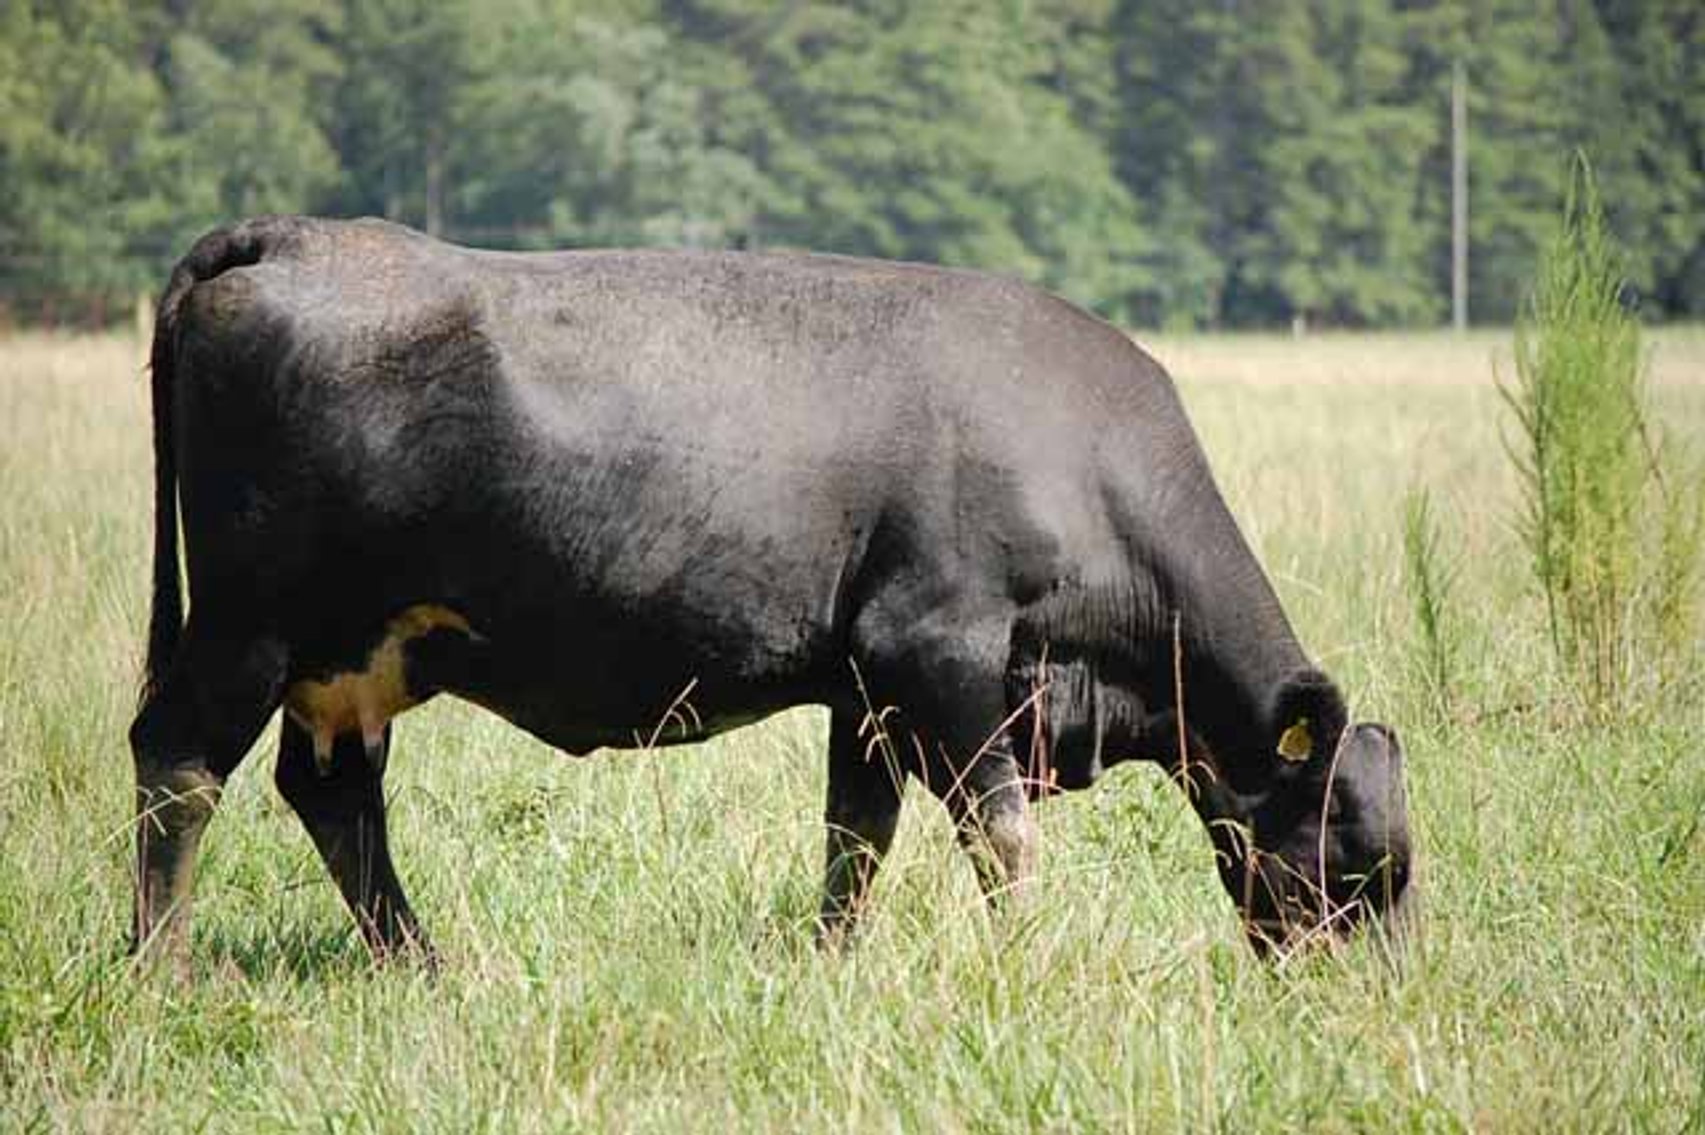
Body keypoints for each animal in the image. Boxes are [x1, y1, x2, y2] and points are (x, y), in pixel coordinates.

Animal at [130, 216, 1413, 969]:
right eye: (1356, 856)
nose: (1374, 995)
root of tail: (291, 236)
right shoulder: (939, 648)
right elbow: (1001, 835)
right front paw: (1030, 965)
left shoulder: (866, 686)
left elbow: (856, 839)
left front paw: (831, 964)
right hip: (247, 622)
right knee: (178, 763)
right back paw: (160, 971)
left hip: (355, 653)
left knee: (334, 793)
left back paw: (422, 964)